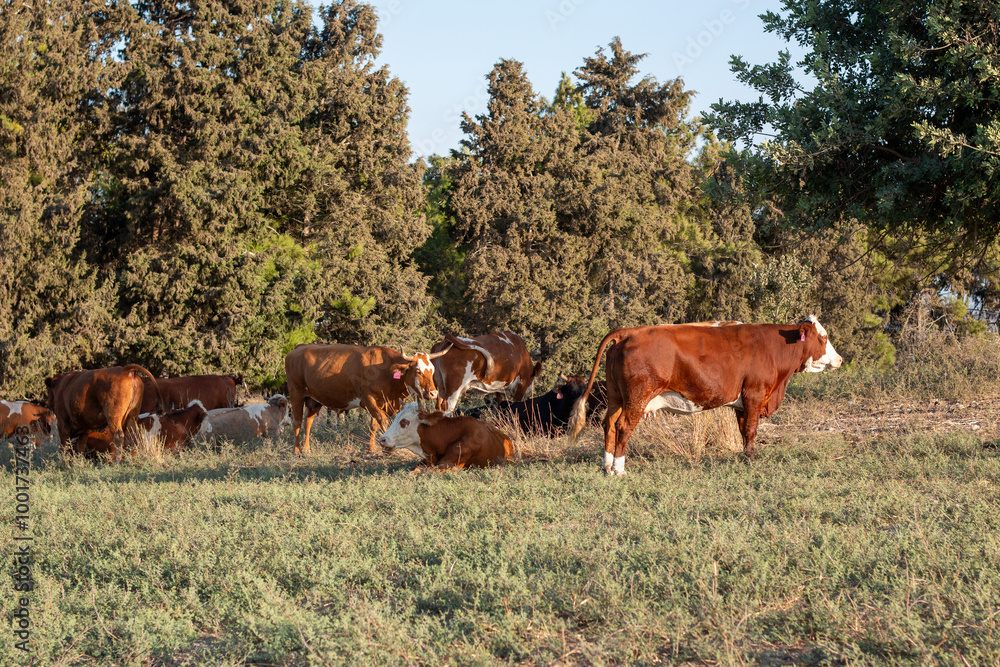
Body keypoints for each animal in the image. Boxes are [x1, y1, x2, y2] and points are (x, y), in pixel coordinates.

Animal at [285, 343, 451, 455]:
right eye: (418, 371)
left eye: (432, 370)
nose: (433, 393)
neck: (386, 370)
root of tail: (298, 349)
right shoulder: (368, 400)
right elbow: (382, 420)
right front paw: (388, 448)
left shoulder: (380, 402)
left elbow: (373, 424)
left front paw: (371, 448)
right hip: (296, 394)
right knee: (297, 422)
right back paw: (297, 450)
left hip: (314, 400)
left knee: (308, 421)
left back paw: (306, 448)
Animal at [568, 316, 843, 475]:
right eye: (824, 337)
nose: (839, 359)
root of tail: (630, 331)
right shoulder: (755, 393)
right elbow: (752, 429)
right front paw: (752, 459)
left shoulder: (742, 402)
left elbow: (743, 430)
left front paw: (744, 456)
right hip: (637, 397)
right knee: (623, 426)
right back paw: (619, 469)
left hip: (616, 396)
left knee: (609, 424)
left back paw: (606, 466)